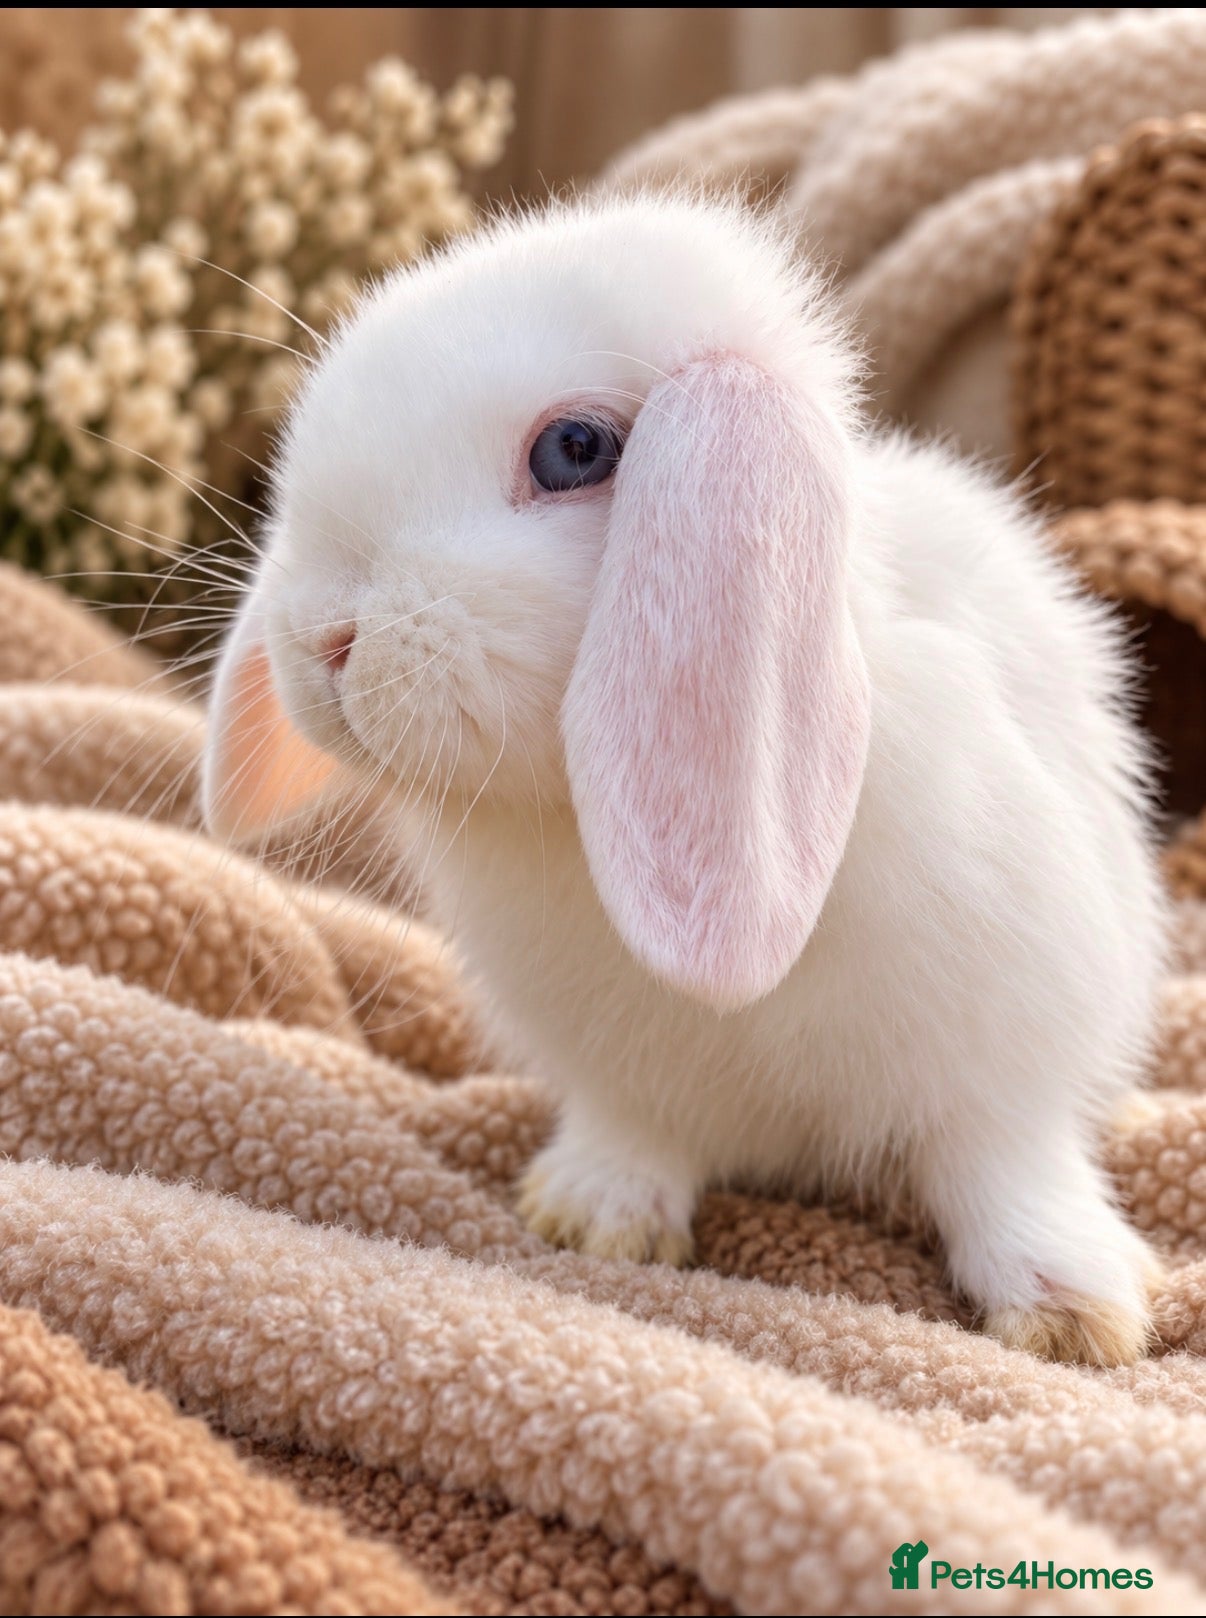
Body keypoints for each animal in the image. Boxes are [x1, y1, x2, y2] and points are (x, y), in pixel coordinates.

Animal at [203, 194, 1167, 1366]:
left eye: (574, 449)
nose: (323, 639)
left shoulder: (1009, 1041)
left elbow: (1003, 1157)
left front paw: (1072, 1310)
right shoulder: (619, 1066)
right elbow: (635, 1128)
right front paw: (594, 1215)